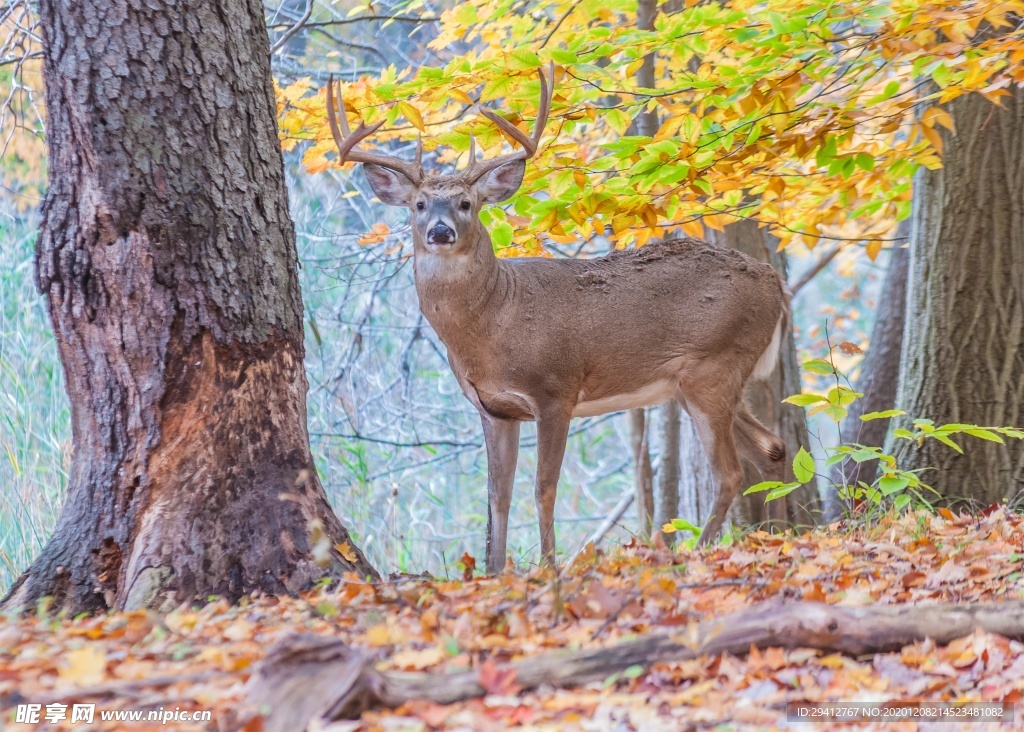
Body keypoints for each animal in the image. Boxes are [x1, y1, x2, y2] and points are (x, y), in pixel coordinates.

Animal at [323, 67, 786, 573]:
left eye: (466, 204)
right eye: (419, 205)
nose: (440, 232)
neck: (494, 323)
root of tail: (776, 284)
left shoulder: (556, 390)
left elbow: (544, 489)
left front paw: (548, 567)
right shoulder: (493, 408)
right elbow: (497, 497)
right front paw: (495, 572)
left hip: (714, 365)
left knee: (730, 472)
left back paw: (699, 554)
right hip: (697, 383)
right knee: (771, 449)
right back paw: (774, 537)